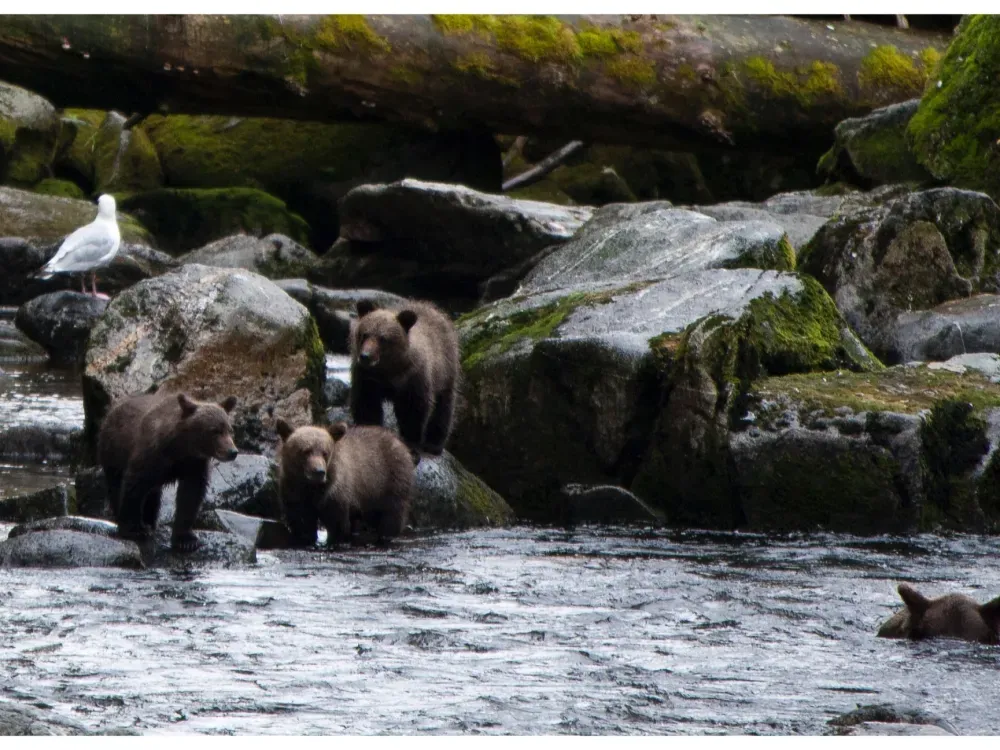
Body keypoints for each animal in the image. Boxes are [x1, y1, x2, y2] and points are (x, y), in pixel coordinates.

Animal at [97, 391, 239, 552]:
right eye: (215, 431)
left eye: (230, 430)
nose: (232, 452)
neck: (180, 448)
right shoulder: (151, 456)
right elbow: (134, 486)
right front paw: (134, 529)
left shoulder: (194, 465)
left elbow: (191, 495)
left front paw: (186, 540)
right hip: (112, 452)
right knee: (116, 486)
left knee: (153, 494)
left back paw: (150, 521)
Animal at [276, 418, 414, 546]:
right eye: (306, 451)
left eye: (325, 452)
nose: (319, 471)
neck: (312, 487)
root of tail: (399, 441)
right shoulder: (293, 490)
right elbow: (301, 519)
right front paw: (305, 538)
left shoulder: (334, 493)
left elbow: (337, 522)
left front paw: (335, 540)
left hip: (390, 480)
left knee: (391, 514)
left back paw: (386, 536)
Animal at [350, 298, 460, 456]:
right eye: (364, 334)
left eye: (383, 338)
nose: (365, 356)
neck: (388, 370)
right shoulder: (367, 377)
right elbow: (367, 404)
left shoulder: (413, 378)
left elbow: (413, 410)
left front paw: (411, 445)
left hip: (446, 370)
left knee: (444, 407)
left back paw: (434, 444)